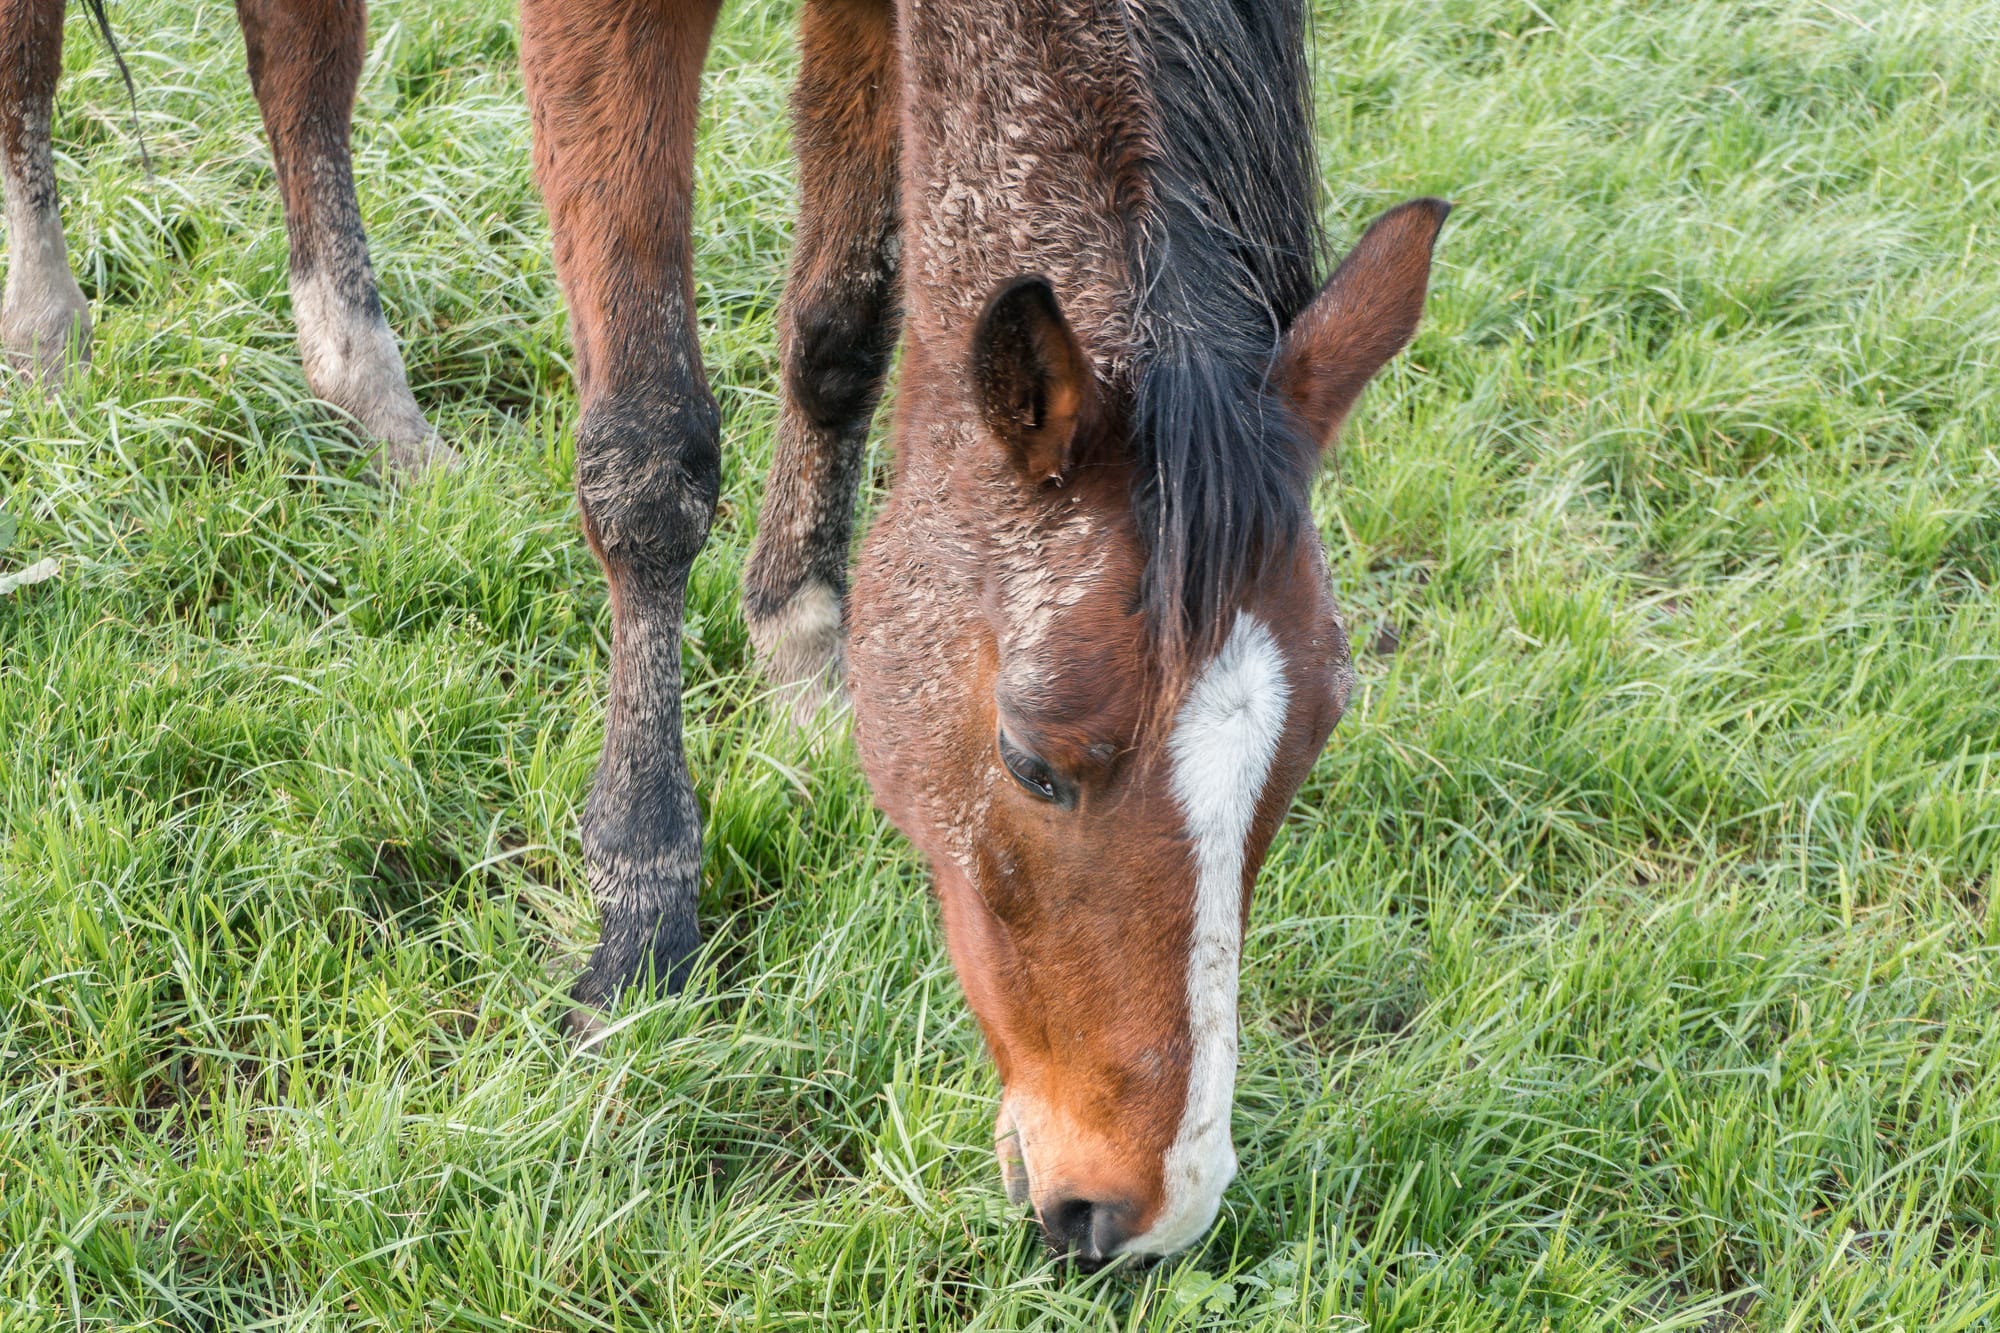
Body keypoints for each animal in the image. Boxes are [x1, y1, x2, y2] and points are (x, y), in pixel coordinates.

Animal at [1, 0, 1448, 1268]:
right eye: (1035, 762)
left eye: (1311, 745)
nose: (1145, 1212)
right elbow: (649, 456)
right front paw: (642, 909)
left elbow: (842, 326)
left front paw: (803, 646)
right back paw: (52, 334)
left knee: (297, 59)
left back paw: (368, 397)